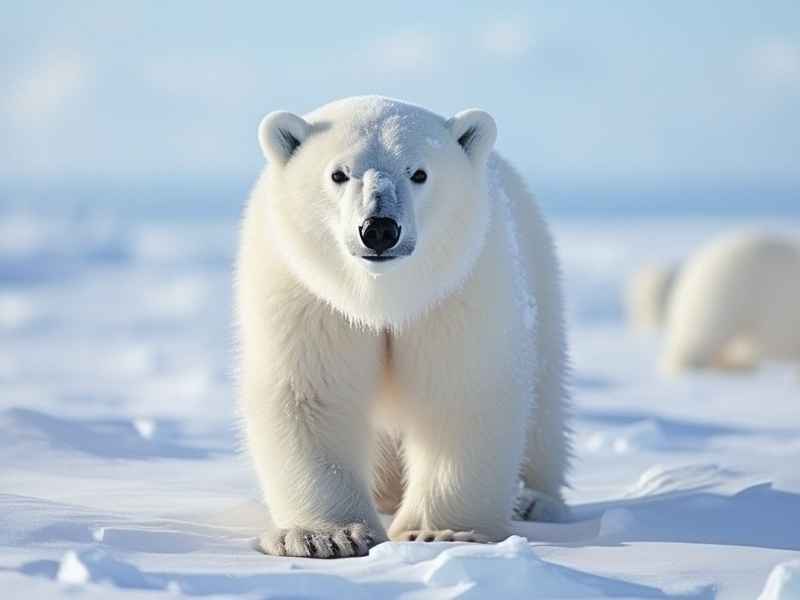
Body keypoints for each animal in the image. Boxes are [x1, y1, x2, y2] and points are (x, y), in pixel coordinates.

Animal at [235, 96, 571, 558]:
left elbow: (461, 393)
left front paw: (440, 532)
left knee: (545, 404)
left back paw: (532, 499)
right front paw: (326, 536)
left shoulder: (457, 293)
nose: (378, 228)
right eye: (339, 173)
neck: (383, 298)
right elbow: (310, 393)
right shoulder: (307, 296)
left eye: (419, 173)